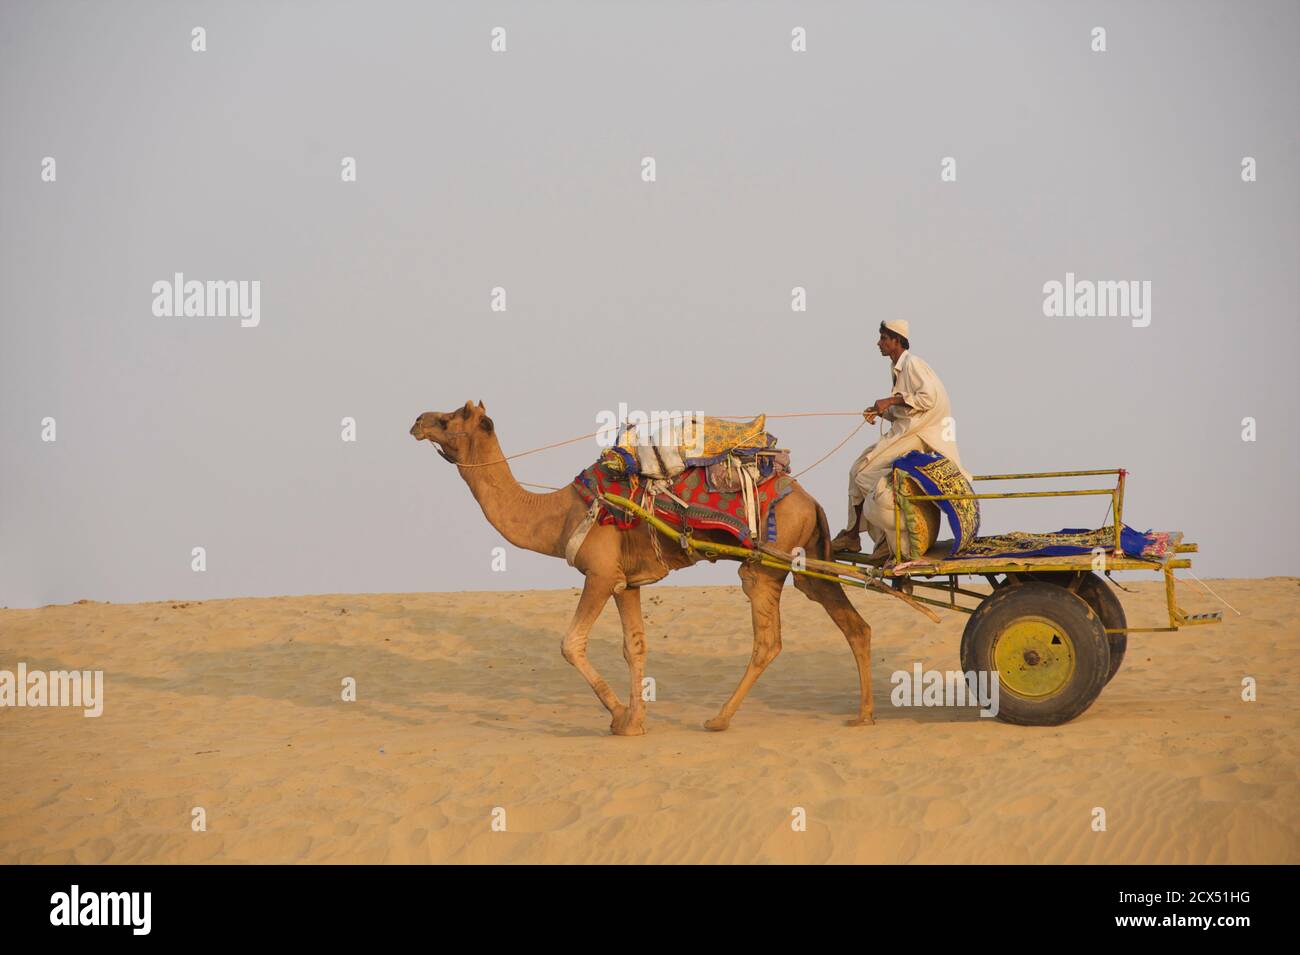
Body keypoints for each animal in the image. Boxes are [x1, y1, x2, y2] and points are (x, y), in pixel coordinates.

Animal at [405, 400, 873, 738]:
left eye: (449, 418)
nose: (417, 420)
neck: (558, 516)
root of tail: (810, 500)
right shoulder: (625, 582)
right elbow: (635, 646)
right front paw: (635, 721)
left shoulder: (599, 575)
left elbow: (571, 644)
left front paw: (617, 717)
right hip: (806, 560)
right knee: (852, 622)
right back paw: (863, 715)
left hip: (763, 566)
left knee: (768, 641)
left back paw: (718, 719)